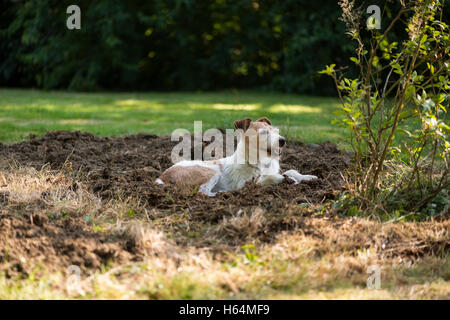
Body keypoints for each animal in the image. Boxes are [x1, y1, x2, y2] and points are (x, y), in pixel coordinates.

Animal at [156, 117, 318, 196]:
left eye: (276, 131)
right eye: (263, 133)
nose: (282, 140)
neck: (262, 162)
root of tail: (161, 177)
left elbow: (291, 171)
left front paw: (308, 177)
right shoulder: (249, 183)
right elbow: (269, 178)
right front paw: (286, 180)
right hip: (211, 171)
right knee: (202, 192)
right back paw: (223, 194)